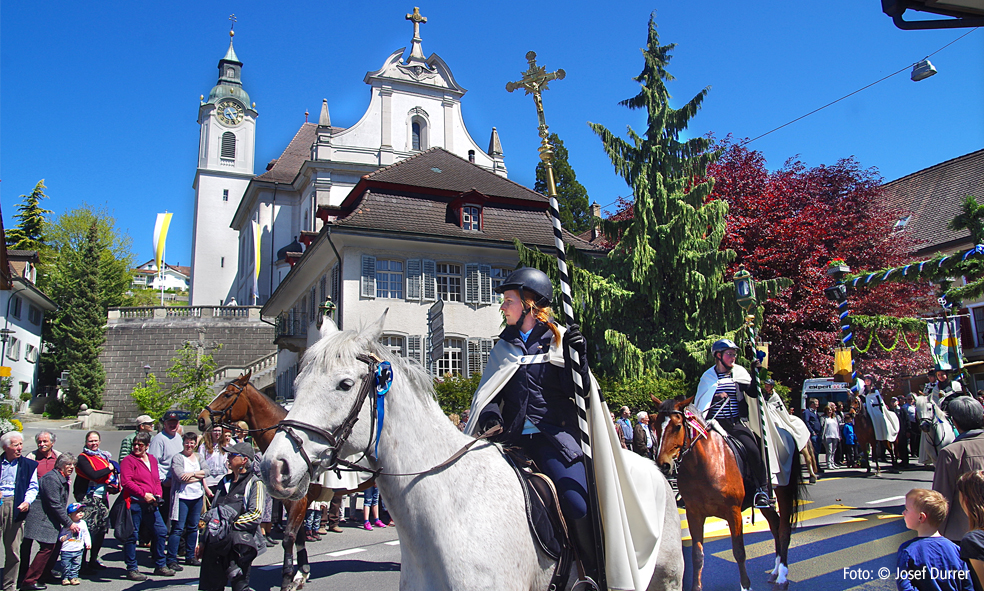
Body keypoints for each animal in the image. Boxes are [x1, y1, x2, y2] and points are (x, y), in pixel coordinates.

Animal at [196, 374, 334, 591]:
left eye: (228, 394)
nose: (202, 419)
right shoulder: (291, 502)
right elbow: (298, 536)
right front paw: (301, 574)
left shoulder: (299, 501)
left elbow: (288, 538)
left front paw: (287, 579)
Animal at [656, 398, 804, 591]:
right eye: (655, 424)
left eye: (678, 426)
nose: (663, 465)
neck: (705, 464)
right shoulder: (694, 513)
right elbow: (697, 555)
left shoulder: (733, 512)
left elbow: (739, 551)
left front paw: (746, 586)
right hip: (766, 505)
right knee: (775, 525)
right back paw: (775, 571)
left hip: (784, 491)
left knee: (784, 529)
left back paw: (782, 577)